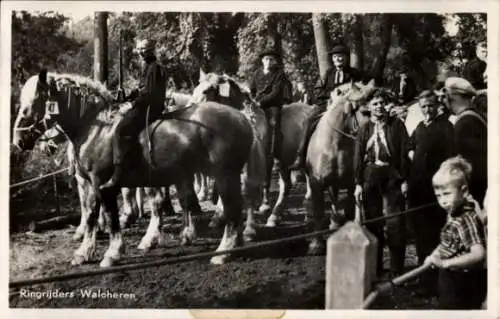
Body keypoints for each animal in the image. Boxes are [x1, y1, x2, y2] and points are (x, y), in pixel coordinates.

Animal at [11, 70, 264, 268]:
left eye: (31, 103)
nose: (18, 140)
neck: (96, 128)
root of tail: (242, 117)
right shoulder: (91, 185)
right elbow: (91, 216)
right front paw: (83, 253)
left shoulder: (103, 185)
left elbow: (110, 217)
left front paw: (112, 253)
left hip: (225, 176)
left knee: (232, 210)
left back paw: (223, 252)